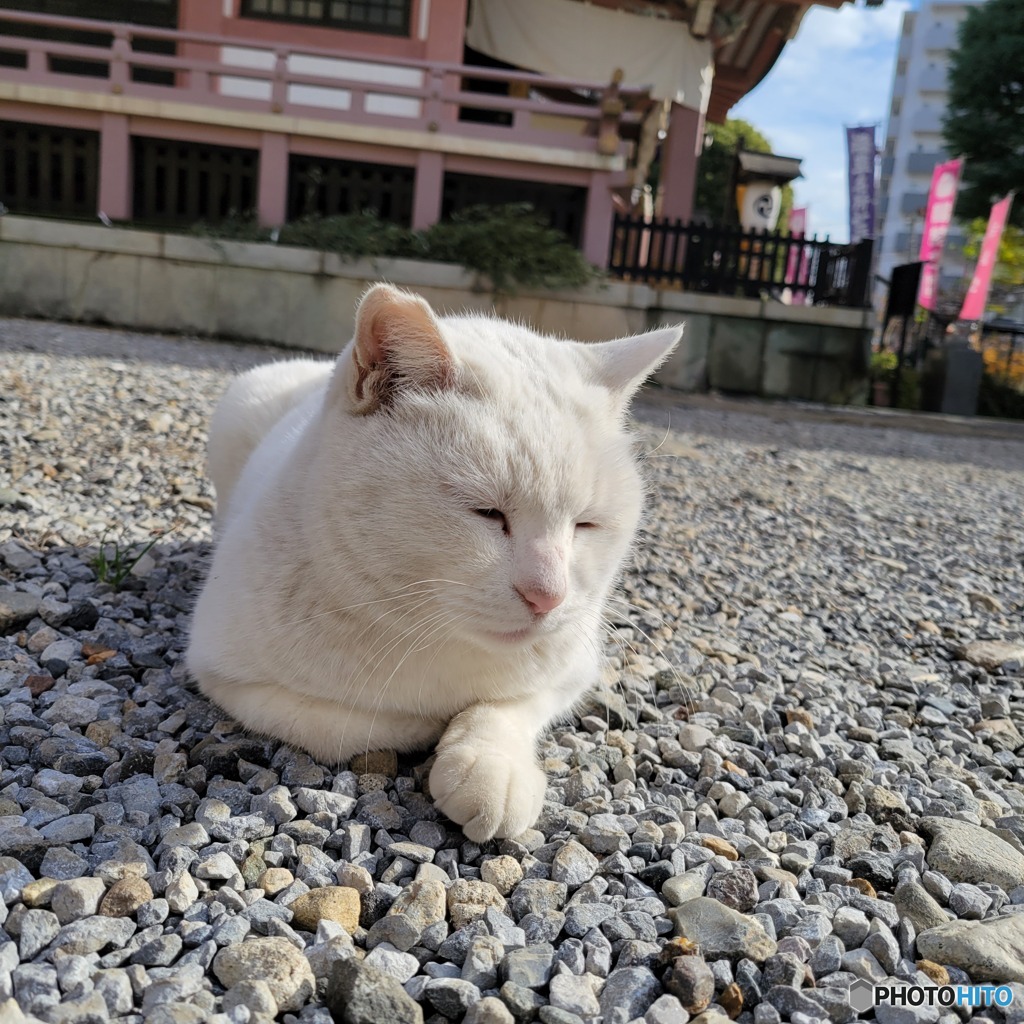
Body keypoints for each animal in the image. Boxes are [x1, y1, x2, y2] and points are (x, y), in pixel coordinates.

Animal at [189, 282, 679, 839]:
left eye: (586, 525)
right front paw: (432, 726)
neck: (429, 632)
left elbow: (511, 704)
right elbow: (354, 725)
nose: (547, 596)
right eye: (487, 512)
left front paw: (490, 763)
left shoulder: (574, 666)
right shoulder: (226, 674)